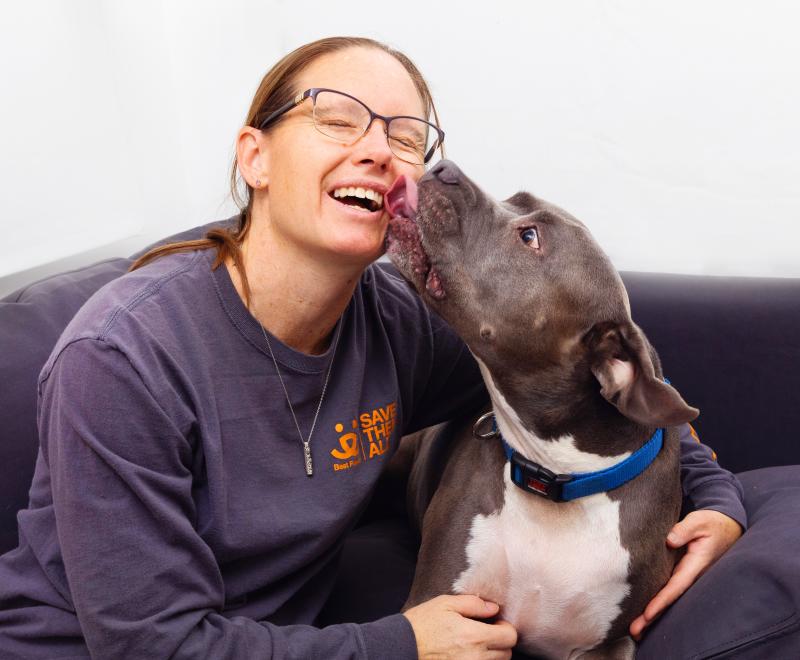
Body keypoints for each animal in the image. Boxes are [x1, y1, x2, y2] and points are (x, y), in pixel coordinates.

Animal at [384, 161, 696, 660]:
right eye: (517, 200)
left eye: (529, 237)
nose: (444, 167)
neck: (558, 479)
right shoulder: (437, 604)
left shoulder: (612, 644)